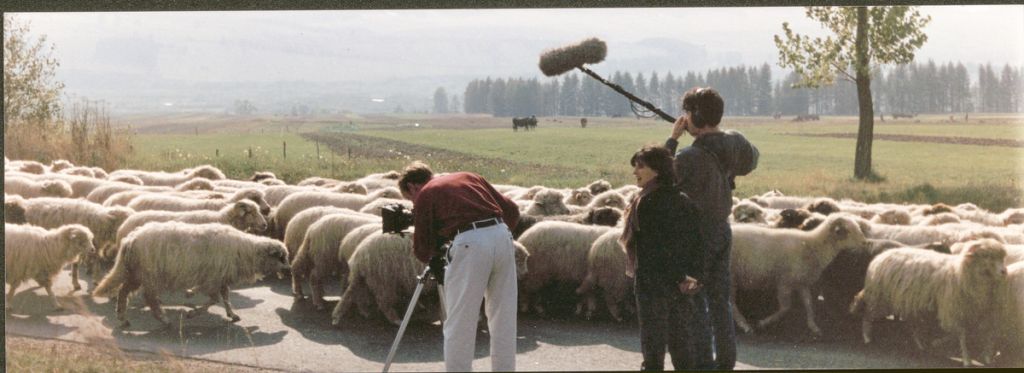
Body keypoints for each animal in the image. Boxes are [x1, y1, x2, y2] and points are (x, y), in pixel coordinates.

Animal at [91, 221, 288, 325]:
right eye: (281, 257)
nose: (288, 270)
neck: (246, 250)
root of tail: (130, 239)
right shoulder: (212, 280)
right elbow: (215, 299)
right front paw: (192, 312)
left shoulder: (220, 279)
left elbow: (225, 297)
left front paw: (232, 315)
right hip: (148, 274)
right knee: (149, 297)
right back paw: (163, 319)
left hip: (136, 272)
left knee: (123, 291)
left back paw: (122, 317)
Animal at [729, 213, 872, 338]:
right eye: (847, 231)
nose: (865, 242)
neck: (812, 245)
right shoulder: (784, 282)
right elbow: (785, 307)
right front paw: (764, 322)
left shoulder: (802, 283)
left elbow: (809, 305)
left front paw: (814, 327)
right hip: (732, 275)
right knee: (732, 303)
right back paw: (745, 325)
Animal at [847, 238, 1007, 366]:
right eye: (987, 256)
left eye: (1002, 257)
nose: (1004, 271)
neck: (961, 273)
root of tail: (878, 258)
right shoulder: (952, 309)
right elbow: (960, 335)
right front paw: (966, 359)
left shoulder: (967, 310)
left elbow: (960, 334)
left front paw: (938, 343)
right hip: (882, 298)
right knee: (868, 314)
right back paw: (867, 337)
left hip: (906, 301)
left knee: (912, 324)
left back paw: (920, 345)